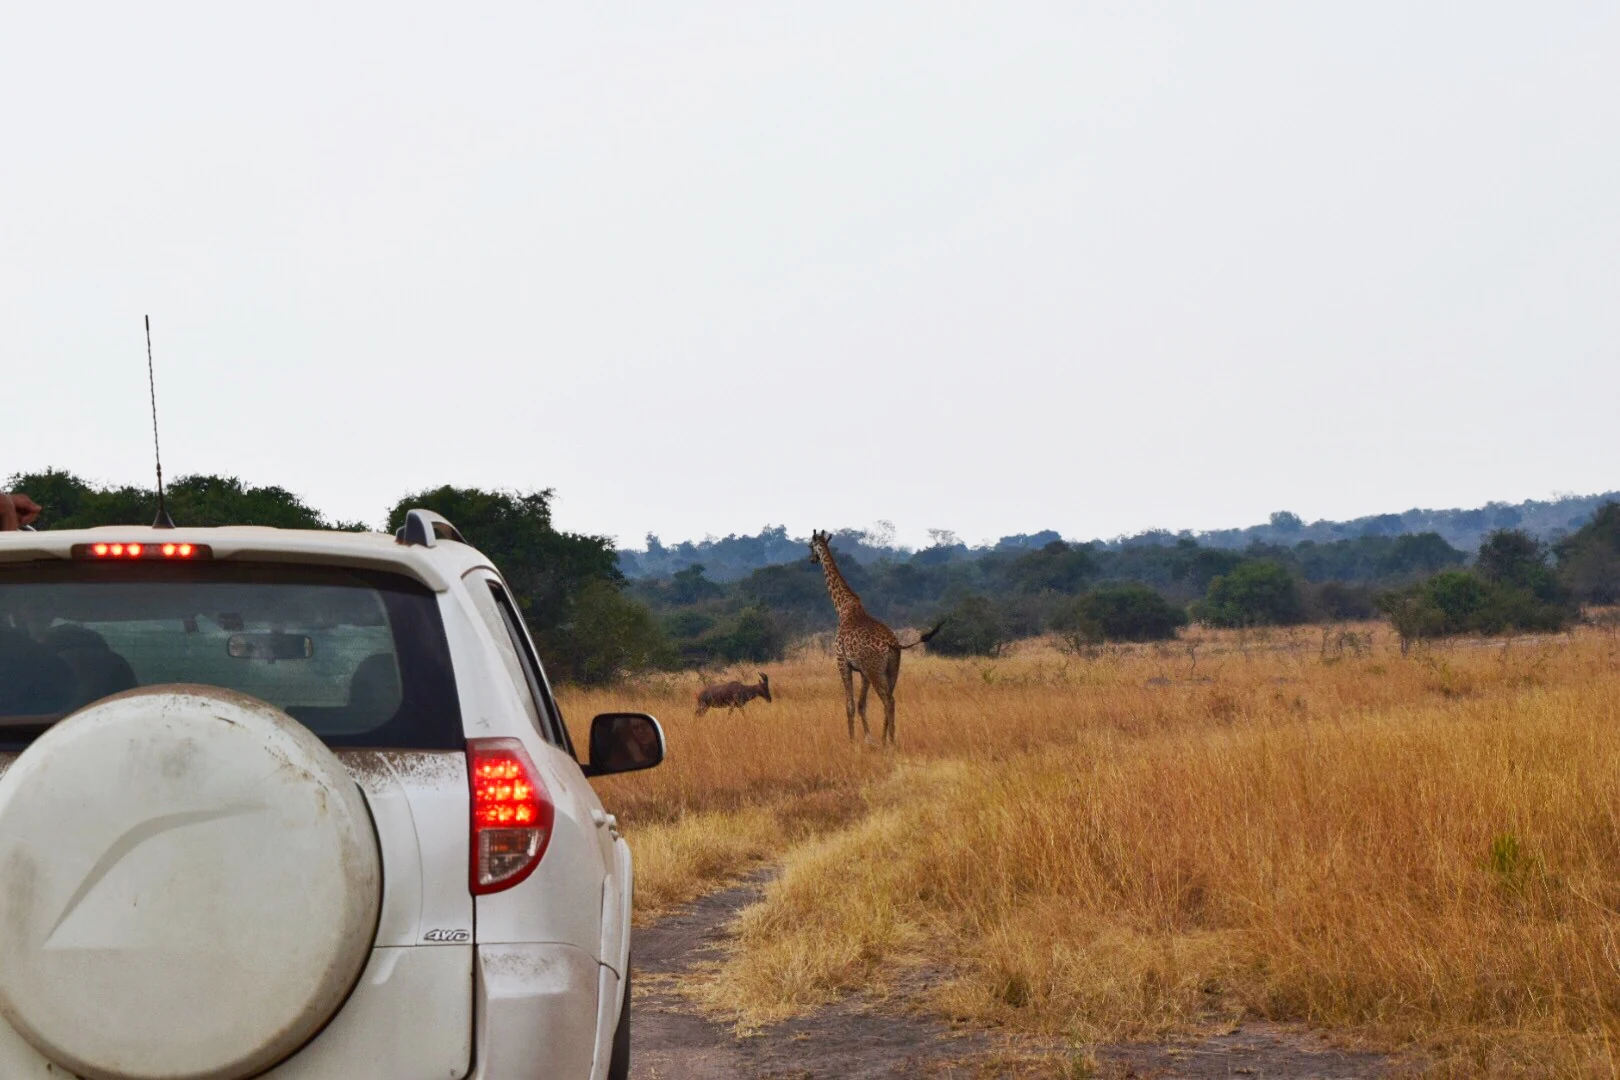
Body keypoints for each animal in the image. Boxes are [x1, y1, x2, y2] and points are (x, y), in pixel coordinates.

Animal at [808, 530, 942, 745]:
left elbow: (850, 704)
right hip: (891, 670)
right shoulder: (862, 671)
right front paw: (869, 738)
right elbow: (862, 704)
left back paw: (891, 741)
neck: (843, 608)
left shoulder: (842, 661)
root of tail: (893, 644)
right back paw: (886, 738)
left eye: (809, 546)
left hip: (875, 670)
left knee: (888, 700)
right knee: (890, 699)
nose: (811, 559)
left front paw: (853, 740)